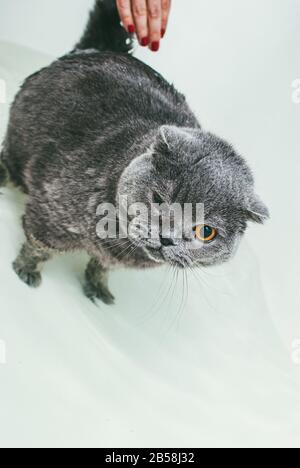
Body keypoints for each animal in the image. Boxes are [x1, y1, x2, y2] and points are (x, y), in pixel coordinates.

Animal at [0, 0, 268, 306]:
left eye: (206, 232)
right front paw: (26, 270)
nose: (168, 238)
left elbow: (102, 266)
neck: (118, 242)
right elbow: (40, 247)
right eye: (159, 199)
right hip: (21, 139)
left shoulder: (111, 258)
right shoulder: (50, 214)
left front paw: (98, 288)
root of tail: (103, 48)